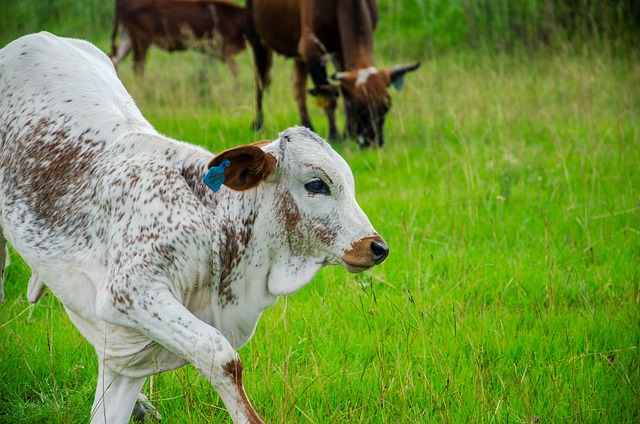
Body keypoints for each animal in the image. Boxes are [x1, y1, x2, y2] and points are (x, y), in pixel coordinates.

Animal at [0, 32, 390, 424]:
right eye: (316, 185)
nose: (377, 247)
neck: (213, 223)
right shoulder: (129, 292)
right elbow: (220, 354)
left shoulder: (125, 350)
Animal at [110, 0, 248, 75]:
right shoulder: (221, 49)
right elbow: (235, 68)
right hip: (141, 39)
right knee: (138, 67)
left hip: (127, 38)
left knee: (115, 60)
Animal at [245, 0, 420, 147]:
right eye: (355, 107)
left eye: (386, 106)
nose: (373, 143)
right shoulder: (311, 49)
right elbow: (328, 97)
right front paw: (334, 135)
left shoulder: (341, 54)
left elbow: (340, 91)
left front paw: (346, 132)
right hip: (257, 39)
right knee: (260, 82)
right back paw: (259, 124)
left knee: (298, 86)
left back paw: (306, 125)